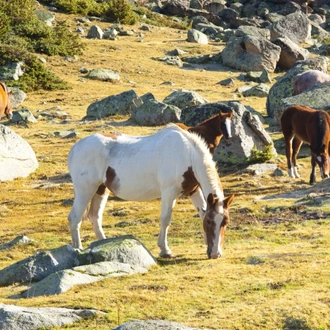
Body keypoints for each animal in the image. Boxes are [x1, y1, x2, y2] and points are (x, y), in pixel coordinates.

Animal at [67, 125, 235, 260]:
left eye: (225, 222)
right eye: (210, 222)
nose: (215, 254)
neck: (187, 155)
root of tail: (76, 147)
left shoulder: (193, 190)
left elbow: (201, 213)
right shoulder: (169, 192)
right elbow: (166, 219)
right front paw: (165, 250)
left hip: (100, 190)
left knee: (95, 216)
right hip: (85, 190)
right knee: (75, 218)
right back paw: (77, 250)